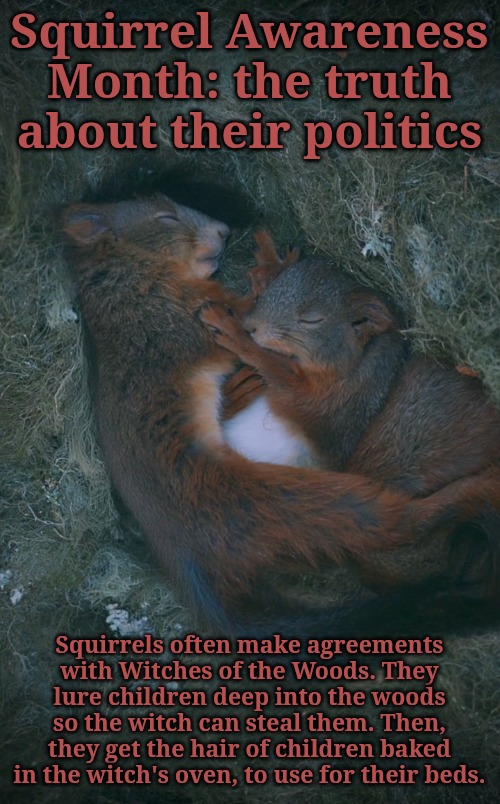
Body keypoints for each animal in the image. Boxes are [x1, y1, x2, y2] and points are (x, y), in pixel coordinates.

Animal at [201, 234, 500, 597]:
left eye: (312, 320)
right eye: (274, 288)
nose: (251, 325)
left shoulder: (335, 411)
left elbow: (278, 371)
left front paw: (233, 332)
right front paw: (267, 266)